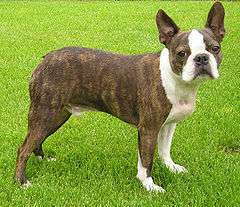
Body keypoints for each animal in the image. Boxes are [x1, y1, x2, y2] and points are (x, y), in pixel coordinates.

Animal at [14, 2, 225, 192]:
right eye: (182, 53)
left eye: (215, 48)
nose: (201, 58)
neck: (176, 80)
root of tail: (46, 58)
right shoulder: (148, 128)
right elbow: (147, 160)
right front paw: (149, 186)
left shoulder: (168, 124)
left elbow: (164, 150)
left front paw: (171, 168)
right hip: (44, 113)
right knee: (23, 148)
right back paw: (21, 182)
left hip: (57, 115)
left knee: (36, 141)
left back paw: (43, 159)